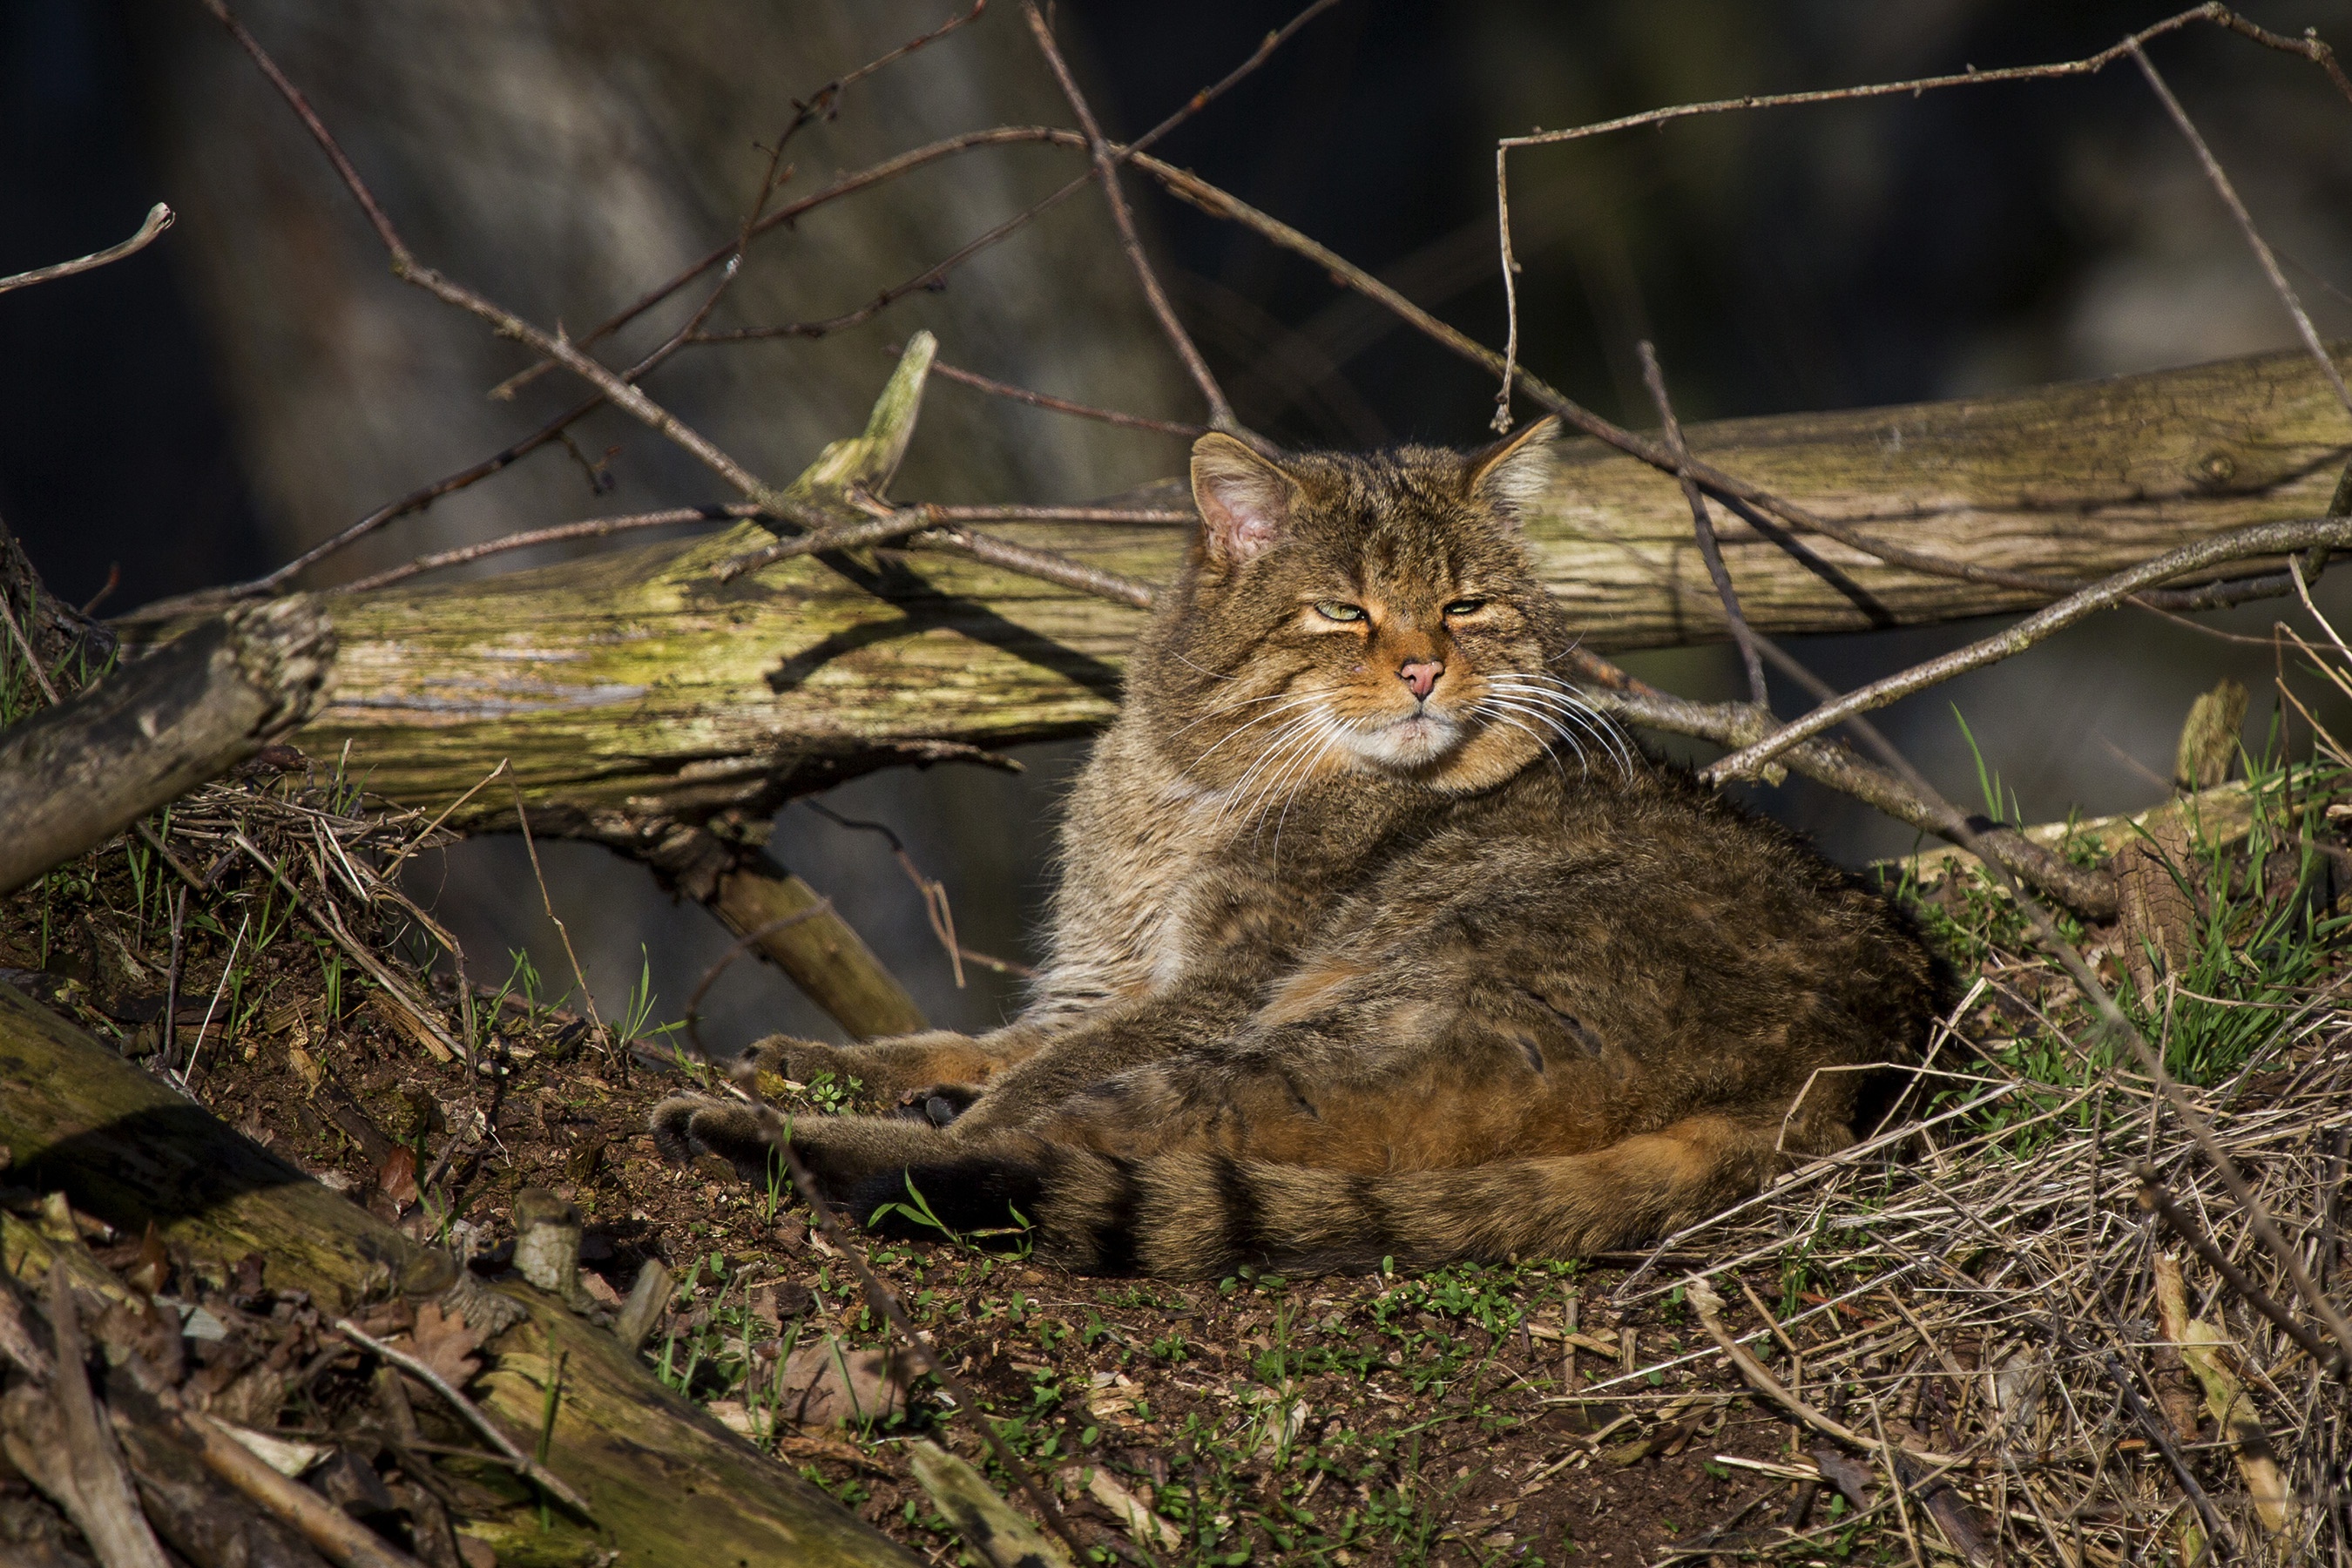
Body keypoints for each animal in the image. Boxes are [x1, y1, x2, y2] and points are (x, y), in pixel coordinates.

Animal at [653, 421, 1937, 1279]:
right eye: (1343, 610)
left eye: (1465, 608)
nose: (1422, 668)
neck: (1187, 783)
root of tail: (1857, 1060)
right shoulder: (1095, 985)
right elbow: (964, 1039)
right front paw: (817, 1056)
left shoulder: (1211, 989)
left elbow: (1031, 1075)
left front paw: (816, 1097)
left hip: (1344, 1027)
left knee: (1045, 1140)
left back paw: (771, 1137)